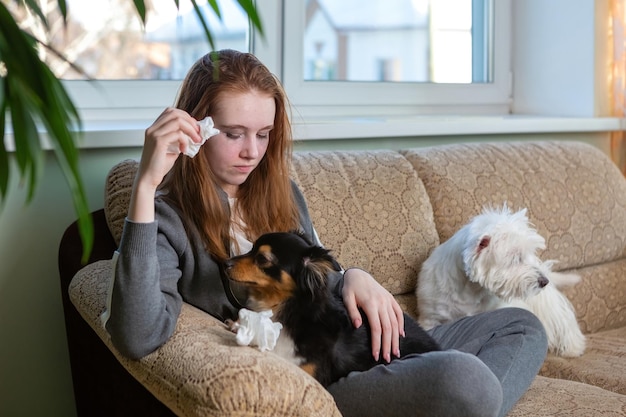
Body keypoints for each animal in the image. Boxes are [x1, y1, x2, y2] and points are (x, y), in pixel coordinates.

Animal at [222, 229, 442, 386]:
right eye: (250, 249)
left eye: (262, 259)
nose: (225, 263)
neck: (287, 307)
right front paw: (237, 325)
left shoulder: (311, 372)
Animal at [414, 203, 584, 356]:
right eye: (516, 258)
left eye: (531, 252)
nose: (544, 281)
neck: (470, 290)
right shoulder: (430, 319)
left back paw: (573, 348)